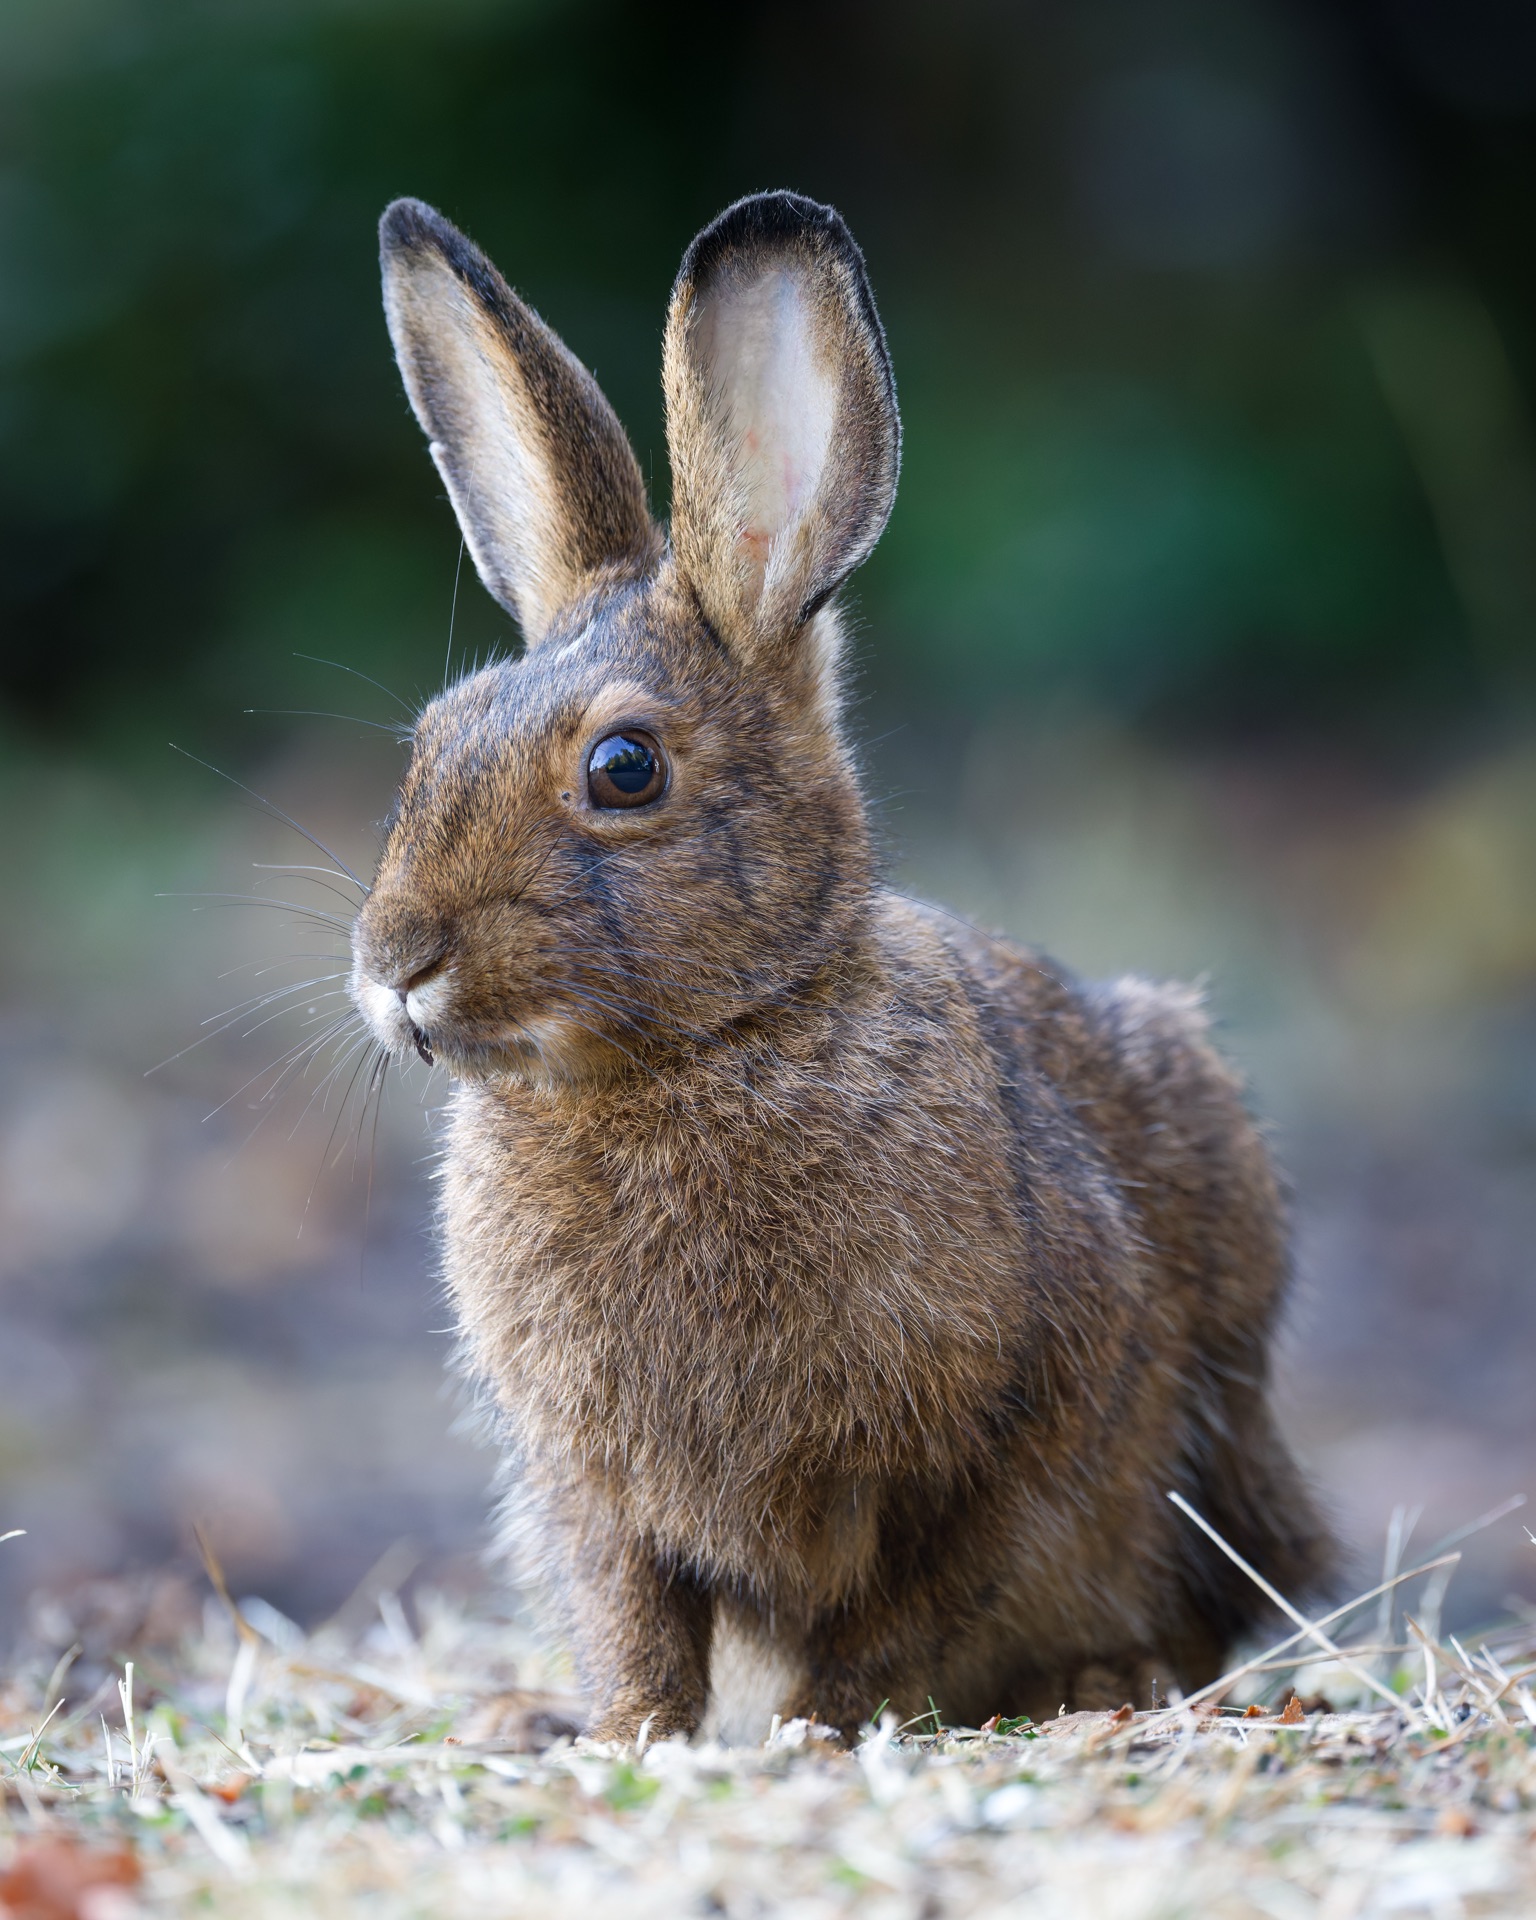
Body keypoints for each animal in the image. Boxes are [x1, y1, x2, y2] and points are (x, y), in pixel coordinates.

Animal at [350, 188, 1333, 1745]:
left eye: (624, 769)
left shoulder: (1003, 1439)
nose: (393, 963)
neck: (707, 1045)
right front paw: (616, 1737)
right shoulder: (591, 1487)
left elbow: (905, 1612)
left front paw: (811, 1731)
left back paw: (1100, 1684)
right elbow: (635, 1621)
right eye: (433, 741)